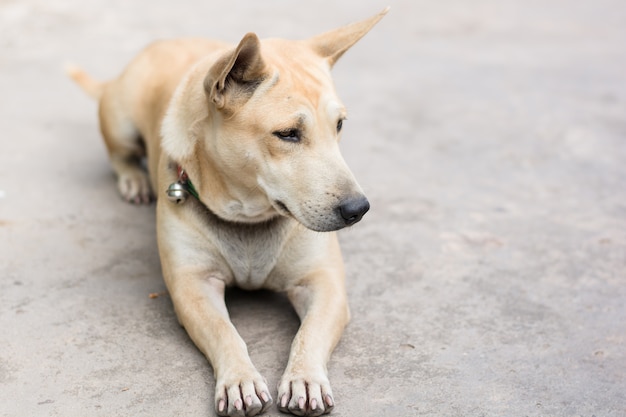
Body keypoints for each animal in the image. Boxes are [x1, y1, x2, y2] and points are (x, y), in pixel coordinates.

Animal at [68, 8, 386, 414]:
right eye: (287, 134)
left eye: (340, 125)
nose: (358, 209)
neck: (248, 215)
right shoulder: (193, 286)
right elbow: (225, 332)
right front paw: (240, 379)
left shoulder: (323, 284)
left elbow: (309, 333)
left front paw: (305, 377)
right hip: (120, 120)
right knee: (119, 154)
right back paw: (134, 180)